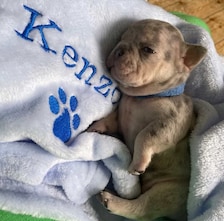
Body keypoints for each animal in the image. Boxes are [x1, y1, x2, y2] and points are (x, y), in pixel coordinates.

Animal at [87, 19, 206, 221]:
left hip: (167, 192)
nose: (119, 49)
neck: (144, 97)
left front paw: (138, 162)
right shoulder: (120, 116)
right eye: (121, 38)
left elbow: (145, 136)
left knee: (141, 208)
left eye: (148, 50)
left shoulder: (170, 123)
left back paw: (112, 201)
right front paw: (96, 127)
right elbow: (110, 119)